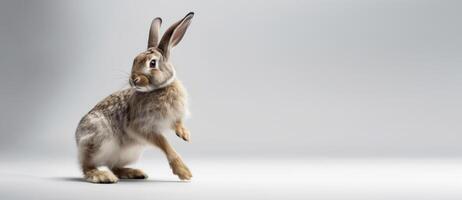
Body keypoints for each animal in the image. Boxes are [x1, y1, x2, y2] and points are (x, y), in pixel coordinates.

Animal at [73, 12, 195, 184]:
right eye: (134, 60)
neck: (159, 89)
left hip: (129, 153)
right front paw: (184, 172)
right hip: (98, 141)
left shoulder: (173, 117)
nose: (133, 79)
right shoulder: (141, 127)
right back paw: (101, 175)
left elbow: (177, 124)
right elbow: (164, 143)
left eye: (152, 63)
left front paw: (184, 134)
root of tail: (78, 140)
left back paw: (134, 172)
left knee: (114, 166)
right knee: (87, 165)